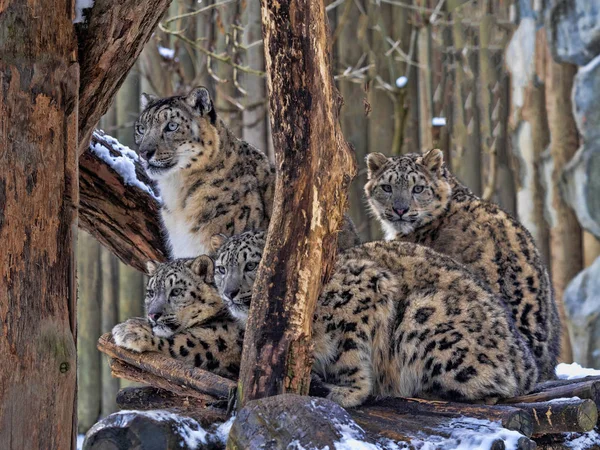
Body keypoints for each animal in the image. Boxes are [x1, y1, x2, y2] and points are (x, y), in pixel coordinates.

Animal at [112, 256, 244, 380]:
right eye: (151, 292)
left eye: (176, 291)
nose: (152, 314)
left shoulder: (211, 343)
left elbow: (176, 344)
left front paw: (127, 330)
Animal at [212, 232, 540, 408]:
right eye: (220, 268)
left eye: (252, 265)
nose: (229, 292)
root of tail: (526, 362)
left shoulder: (362, 291)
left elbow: (349, 361)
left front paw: (340, 391)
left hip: (424, 316)